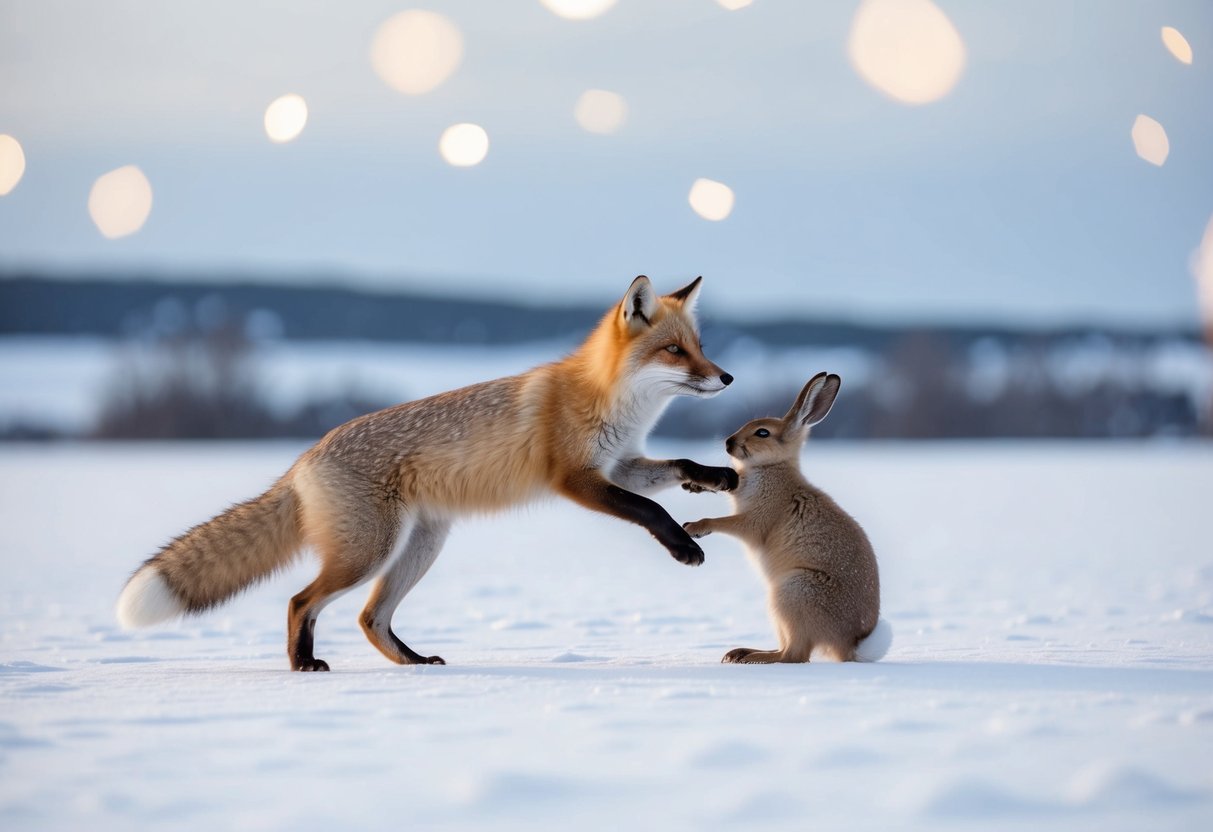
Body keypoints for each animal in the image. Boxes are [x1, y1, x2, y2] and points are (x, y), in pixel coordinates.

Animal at [117, 275, 737, 671]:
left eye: (699, 346)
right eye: (674, 351)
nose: (727, 378)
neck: (608, 400)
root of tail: (301, 460)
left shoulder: (621, 461)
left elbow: (677, 468)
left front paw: (717, 478)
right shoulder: (576, 478)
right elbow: (650, 508)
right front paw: (684, 548)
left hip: (419, 547)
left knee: (370, 617)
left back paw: (413, 662)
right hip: (369, 552)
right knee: (300, 601)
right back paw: (303, 665)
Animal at [683, 372, 891, 664]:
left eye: (762, 432)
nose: (728, 443)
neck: (773, 467)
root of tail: (850, 646)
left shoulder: (755, 520)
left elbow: (727, 523)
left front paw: (695, 527)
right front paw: (694, 486)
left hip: (792, 591)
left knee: (794, 655)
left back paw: (752, 658)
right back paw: (741, 652)